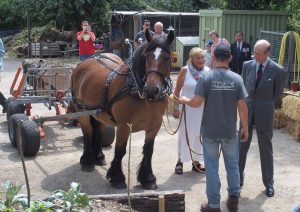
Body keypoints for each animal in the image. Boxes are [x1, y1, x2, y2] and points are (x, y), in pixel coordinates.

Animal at [70, 29, 175, 189]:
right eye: (147, 56)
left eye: (167, 58)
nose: (152, 90)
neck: (137, 91)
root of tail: (89, 59)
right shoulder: (124, 125)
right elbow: (120, 150)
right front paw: (117, 178)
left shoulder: (155, 125)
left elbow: (149, 150)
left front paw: (148, 178)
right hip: (81, 111)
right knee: (87, 131)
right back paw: (87, 161)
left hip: (100, 113)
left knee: (98, 129)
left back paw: (98, 157)